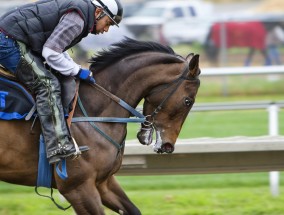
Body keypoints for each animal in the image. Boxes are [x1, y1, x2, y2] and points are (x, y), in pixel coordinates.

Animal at [0, 37, 200, 214]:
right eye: (188, 101)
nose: (167, 146)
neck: (91, 110)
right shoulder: (77, 188)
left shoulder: (103, 182)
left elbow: (133, 210)